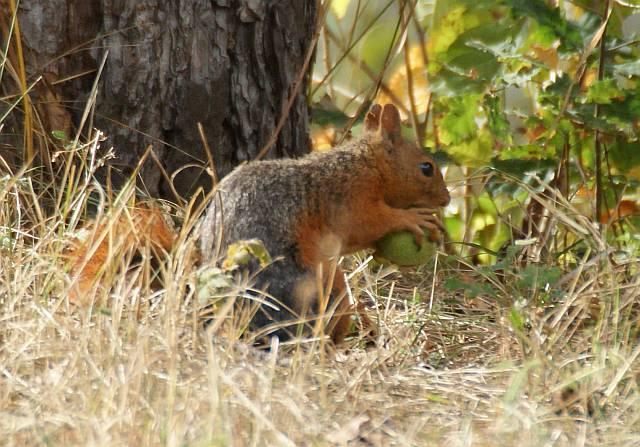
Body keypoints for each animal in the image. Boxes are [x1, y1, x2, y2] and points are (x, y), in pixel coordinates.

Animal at [67, 104, 450, 344]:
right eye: (426, 167)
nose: (447, 199)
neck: (365, 164)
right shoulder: (348, 198)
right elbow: (369, 224)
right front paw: (414, 218)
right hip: (313, 283)